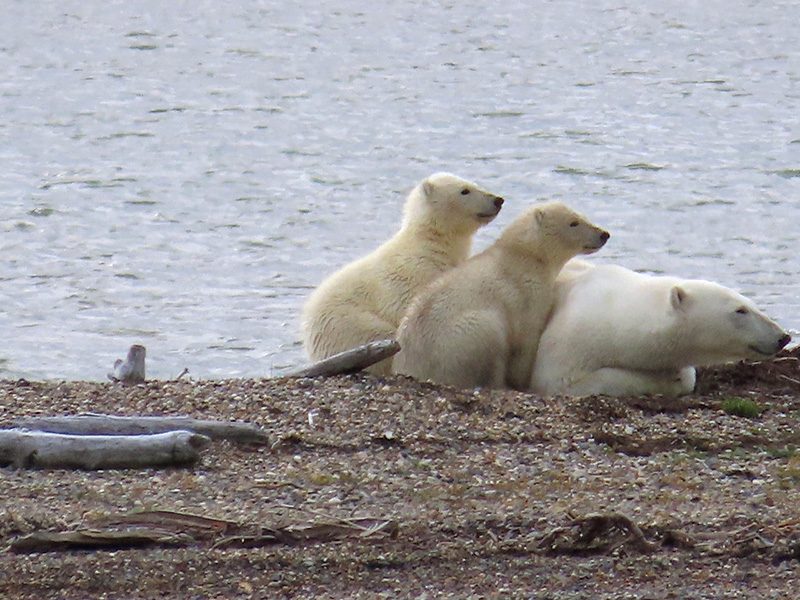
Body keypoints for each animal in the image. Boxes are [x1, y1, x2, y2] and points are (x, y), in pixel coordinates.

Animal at [301, 172, 504, 375]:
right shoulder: (411, 275)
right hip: (350, 326)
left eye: (474, 184)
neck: (430, 245)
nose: (498, 200)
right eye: (464, 190)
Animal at [393, 202, 610, 390]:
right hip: (465, 335)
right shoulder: (527, 293)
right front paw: (522, 380)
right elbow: (526, 339)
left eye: (582, 216)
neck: (522, 255)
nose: (604, 234)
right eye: (573, 222)